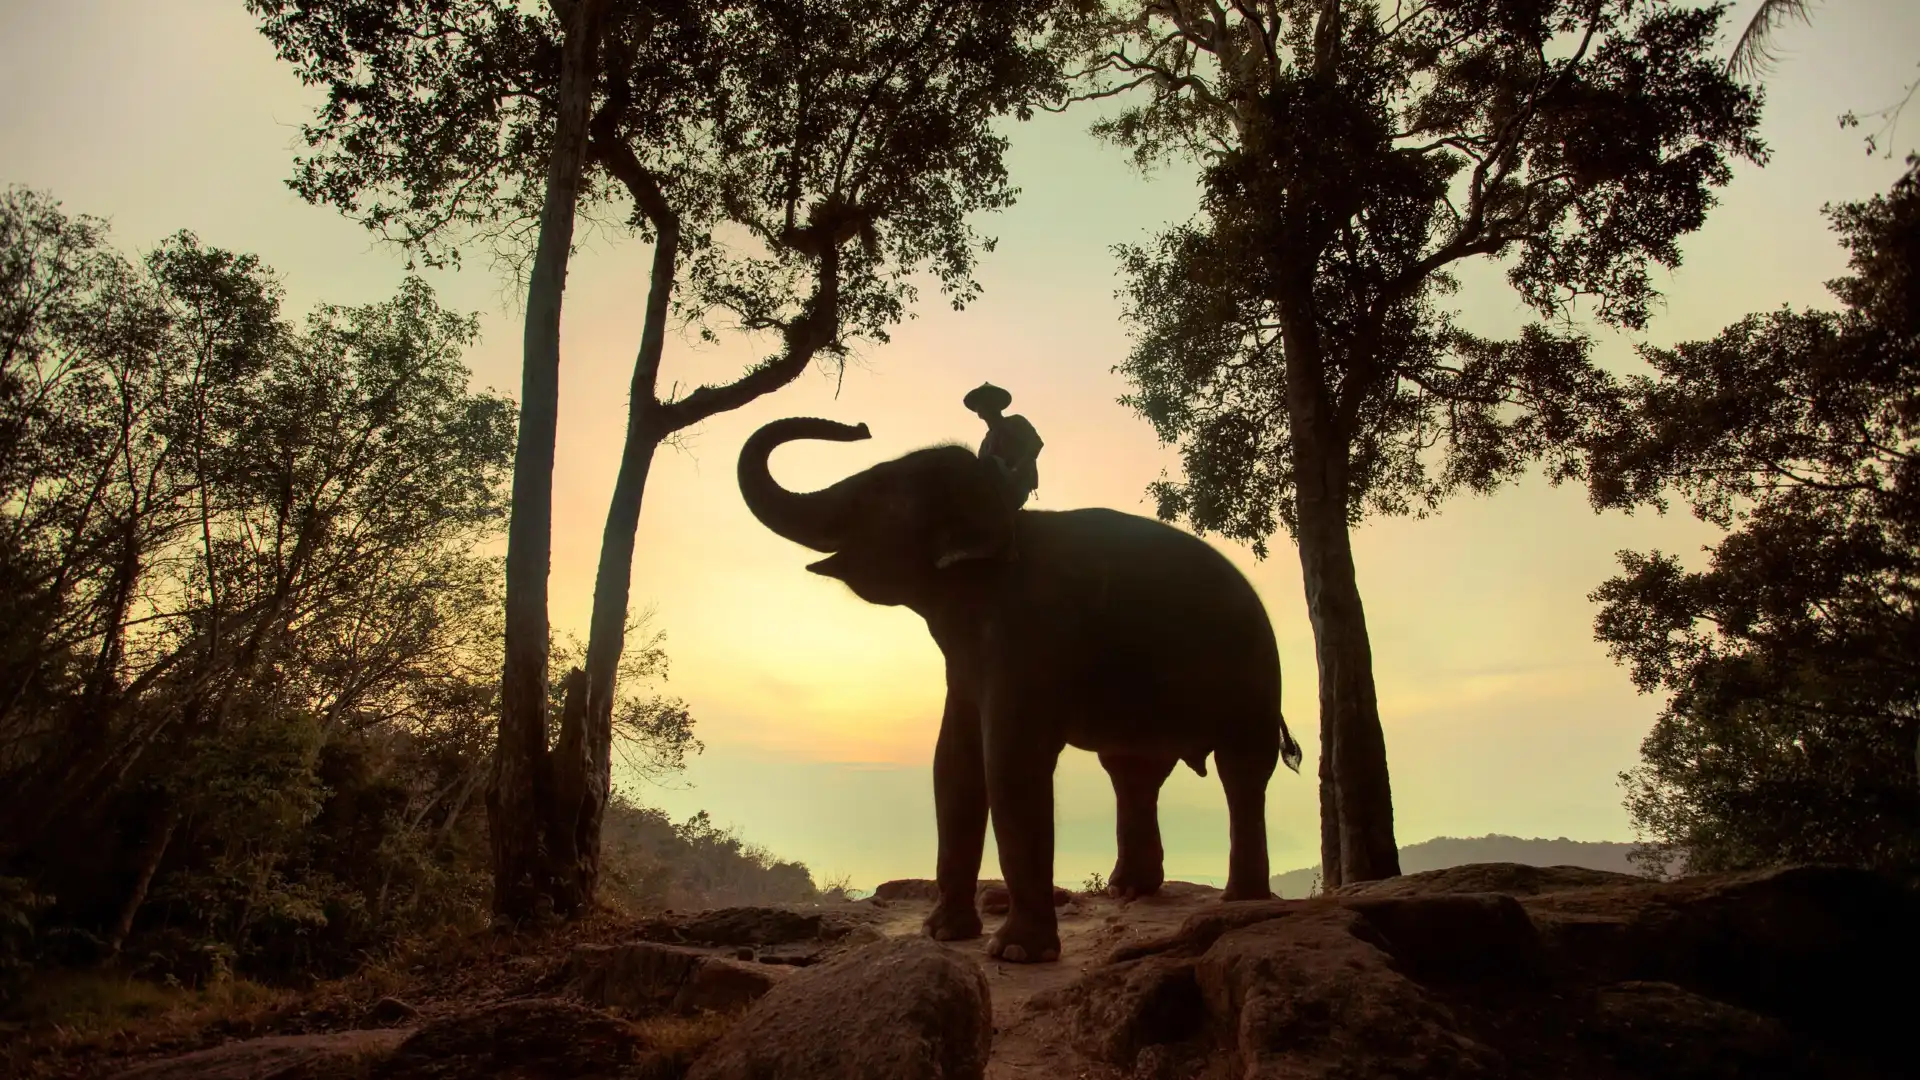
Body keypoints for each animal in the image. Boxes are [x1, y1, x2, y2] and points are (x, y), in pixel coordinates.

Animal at [737, 417, 1303, 963]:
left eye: (879, 493)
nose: (857, 427)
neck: (1004, 515)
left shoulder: (1033, 634)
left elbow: (1010, 759)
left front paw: (1016, 951)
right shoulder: (968, 661)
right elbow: (954, 762)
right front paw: (944, 933)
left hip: (1254, 676)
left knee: (1241, 770)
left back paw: (1241, 900)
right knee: (1133, 773)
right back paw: (1128, 891)